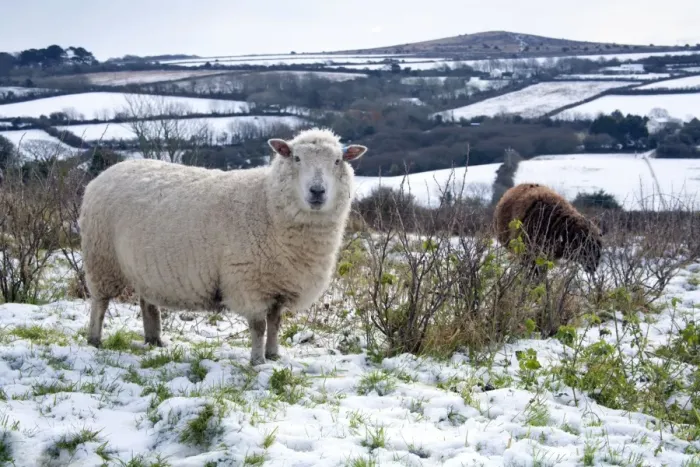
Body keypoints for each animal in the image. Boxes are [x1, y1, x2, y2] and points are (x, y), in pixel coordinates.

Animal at [78, 127, 368, 365]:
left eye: (338, 161)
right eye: (296, 158)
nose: (317, 192)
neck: (267, 203)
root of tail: (103, 175)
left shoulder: (278, 283)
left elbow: (275, 323)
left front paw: (273, 355)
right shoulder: (248, 281)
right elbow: (259, 326)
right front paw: (257, 361)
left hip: (144, 267)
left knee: (147, 303)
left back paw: (154, 341)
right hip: (102, 257)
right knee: (100, 302)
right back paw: (95, 339)